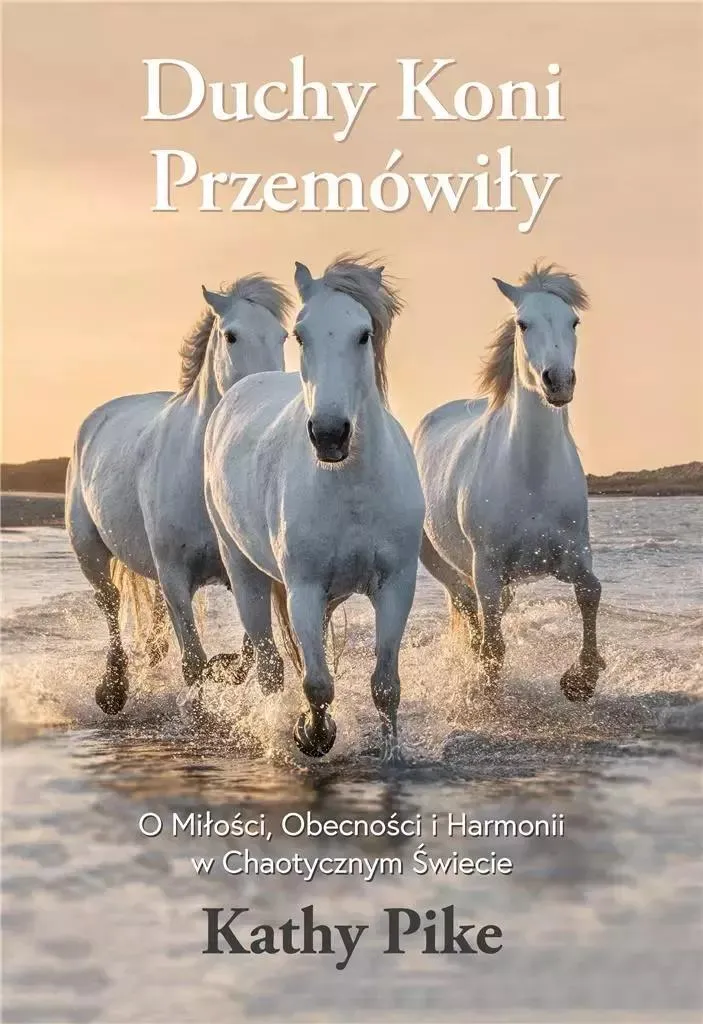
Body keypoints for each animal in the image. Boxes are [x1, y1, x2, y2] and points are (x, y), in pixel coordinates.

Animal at [66, 275, 292, 714]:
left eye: (282, 335)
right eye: (231, 335)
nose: (266, 394)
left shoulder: (241, 570)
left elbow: (246, 651)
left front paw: (225, 669)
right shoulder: (174, 576)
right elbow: (193, 661)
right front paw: (199, 711)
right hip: (90, 553)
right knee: (110, 604)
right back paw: (112, 690)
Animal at [204, 256, 425, 760]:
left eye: (363, 334)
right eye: (301, 335)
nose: (329, 434)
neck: (352, 487)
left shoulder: (395, 586)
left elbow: (386, 685)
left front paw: (391, 754)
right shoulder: (302, 589)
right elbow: (317, 683)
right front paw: (313, 734)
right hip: (243, 572)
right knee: (270, 665)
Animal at [413, 263, 605, 701]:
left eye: (574, 321)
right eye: (523, 323)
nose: (558, 381)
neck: (531, 476)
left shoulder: (572, 555)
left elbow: (591, 591)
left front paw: (581, 679)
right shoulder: (487, 566)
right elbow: (493, 645)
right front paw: (486, 690)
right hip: (441, 561)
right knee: (468, 608)